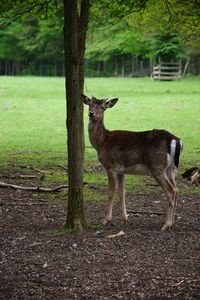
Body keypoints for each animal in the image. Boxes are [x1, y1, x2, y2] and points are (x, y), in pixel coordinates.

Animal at [81, 95, 183, 231]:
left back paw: (166, 225)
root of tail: (175, 140)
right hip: (171, 169)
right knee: (176, 189)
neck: (101, 143)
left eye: (102, 107)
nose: (91, 113)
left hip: (157, 167)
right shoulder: (121, 170)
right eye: (90, 104)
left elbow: (110, 193)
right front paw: (124, 219)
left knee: (171, 191)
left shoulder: (110, 166)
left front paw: (106, 220)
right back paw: (172, 223)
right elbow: (122, 192)